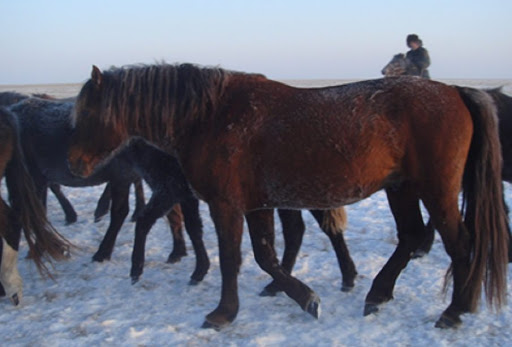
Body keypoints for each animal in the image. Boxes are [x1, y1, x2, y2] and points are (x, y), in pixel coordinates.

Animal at [67, 64, 508, 330]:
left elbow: (234, 259)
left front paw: (224, 312)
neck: (211, 116)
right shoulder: (257, 205)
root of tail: (456, 91)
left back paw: (454, 310)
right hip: (401, 189)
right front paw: (304, 297)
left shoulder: (227, 206)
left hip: (436, 191)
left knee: (461, 244)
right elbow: (267, 257)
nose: (75, 164)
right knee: (411, 237)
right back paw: (378, 294)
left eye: (88, 111)